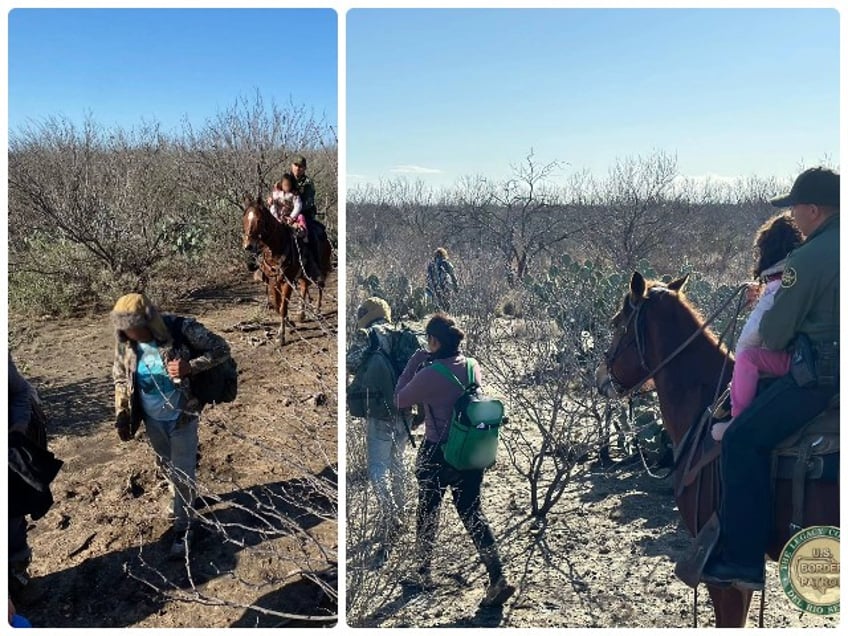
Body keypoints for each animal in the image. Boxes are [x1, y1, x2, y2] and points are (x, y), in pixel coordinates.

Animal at [243, 196, 332, 346]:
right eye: (244, 219)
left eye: (259, 220)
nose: (248, 246)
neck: (276, 248)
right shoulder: (273, 281)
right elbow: (277, 306)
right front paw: (290, 323)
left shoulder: (288, 281)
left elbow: (283, 307)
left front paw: (281, 336)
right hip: (302, 273)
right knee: (304, 286)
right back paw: (301, 313)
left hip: (322, 267)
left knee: (320, 286)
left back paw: (317, 310)